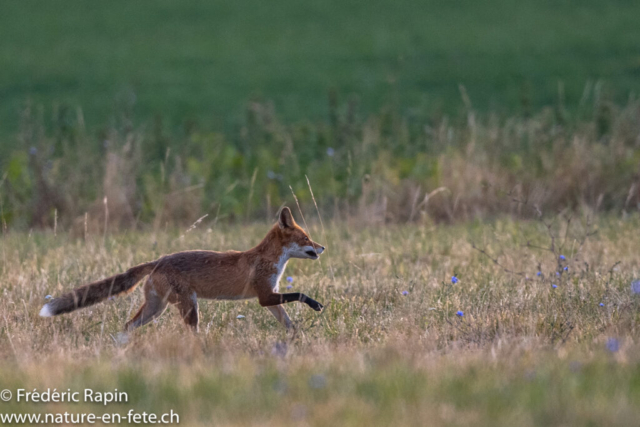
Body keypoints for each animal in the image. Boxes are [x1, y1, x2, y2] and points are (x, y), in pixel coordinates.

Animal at [40, 209, 324, 332]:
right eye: (306, 238)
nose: (323, 247)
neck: (270, 260)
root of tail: (158, 260)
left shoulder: (270, 298)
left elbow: (289, 324)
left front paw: (297, 340)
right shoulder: (264, 296)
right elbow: (300, 294)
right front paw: (315, 304)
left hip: (156, 308)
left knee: (127, 326)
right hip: (189, 307)